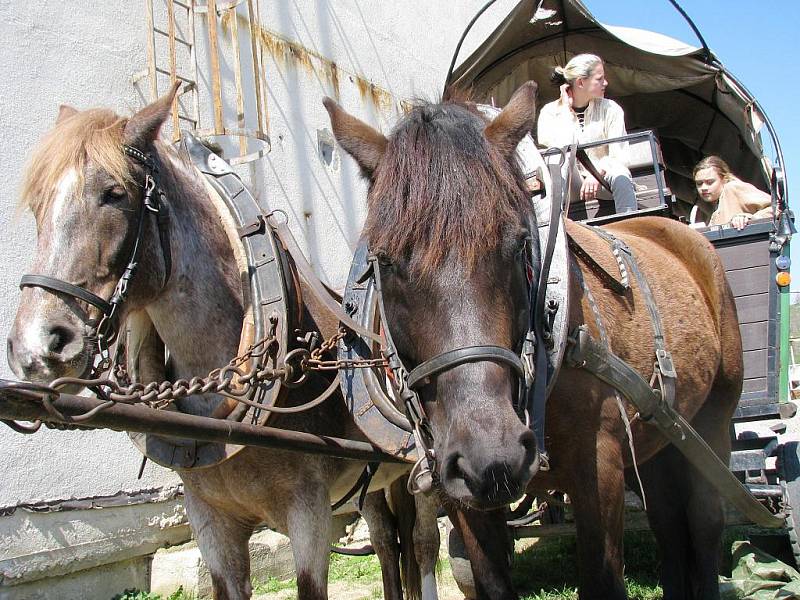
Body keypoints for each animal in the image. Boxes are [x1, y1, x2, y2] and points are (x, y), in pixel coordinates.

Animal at [3, 84, 440, 600]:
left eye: (114, 194)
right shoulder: (210, 522)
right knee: (387, 541)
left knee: (424, 545)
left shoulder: (309, 514)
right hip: (372, 482)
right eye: (37, 206)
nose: (36, 348)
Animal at [324, 81, 744, 600]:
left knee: (703, 526)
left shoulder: (599, 466)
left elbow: (604, 578)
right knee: (670, 524)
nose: (493, 454)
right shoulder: (458, 488)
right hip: (664, 432)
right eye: (385, 260)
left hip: (713, 420)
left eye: (519, 243)